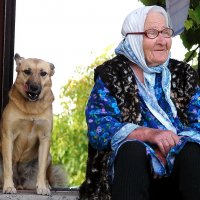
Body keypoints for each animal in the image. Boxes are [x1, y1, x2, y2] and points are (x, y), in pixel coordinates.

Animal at [0, 53, 66, 195]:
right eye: (27, 71)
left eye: (43, 73)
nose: (34, 88)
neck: (31, 109)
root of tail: (20, 183)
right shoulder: (8, 137)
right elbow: (8, 167)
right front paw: (8, 186)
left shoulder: (44, 138)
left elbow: (41, 170)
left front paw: (42, 187)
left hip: (49, 157)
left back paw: (47, 185)